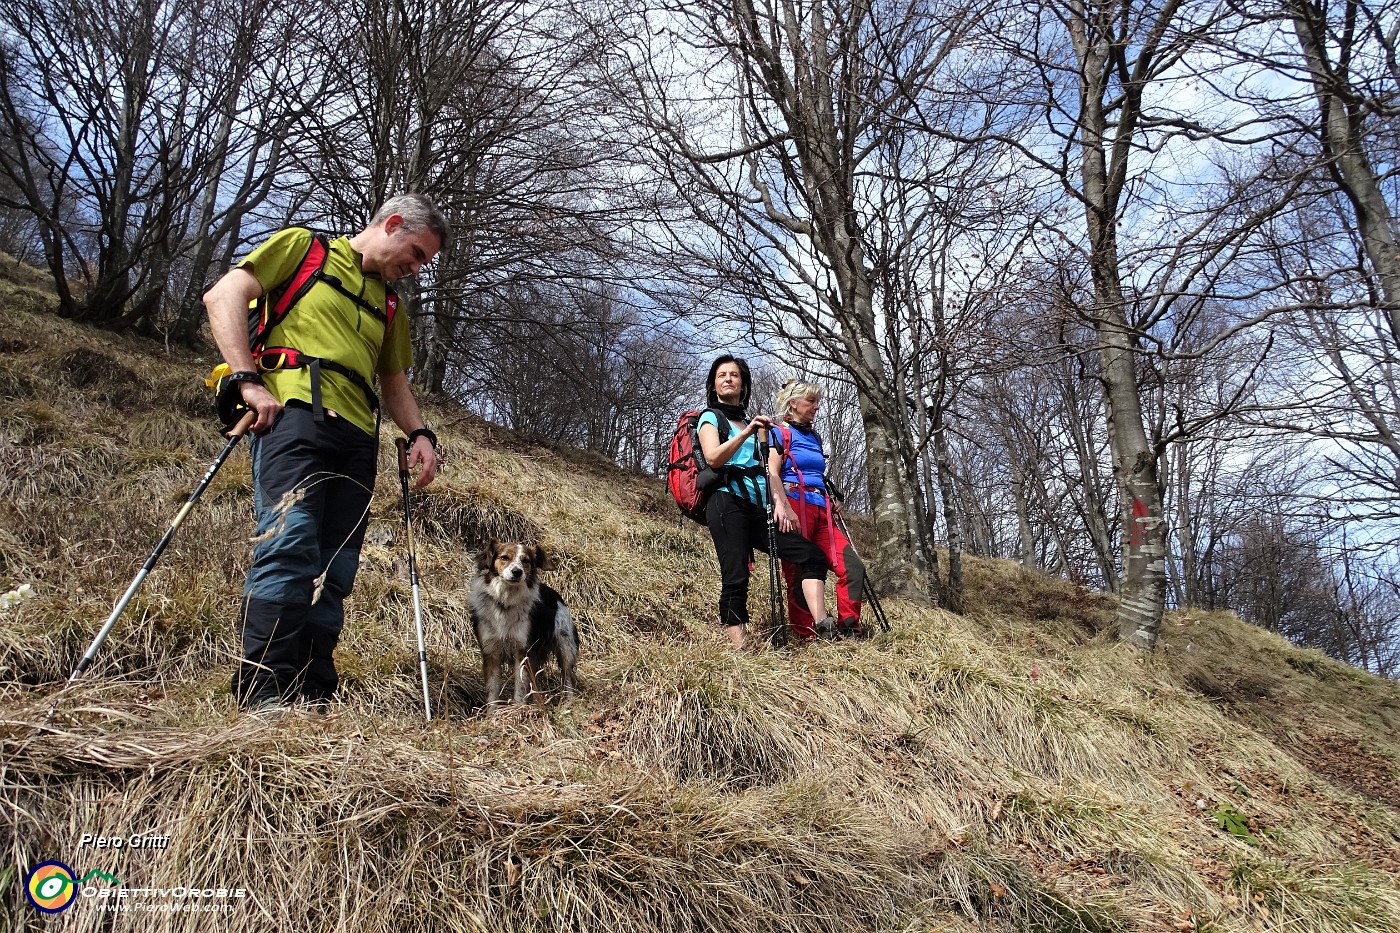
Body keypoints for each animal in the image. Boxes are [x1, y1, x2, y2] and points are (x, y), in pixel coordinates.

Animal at [470, 537, 579, 706]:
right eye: (504, 557)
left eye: (526, 560)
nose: (517, 572)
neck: (506, 602)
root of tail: (556, 595)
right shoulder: (491, 651)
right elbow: (493, 692)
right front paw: (492, 712)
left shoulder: (522, 651)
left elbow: (520, 688)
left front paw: (518, 709)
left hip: (565, 646)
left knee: (567, 677)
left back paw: (569, 703)